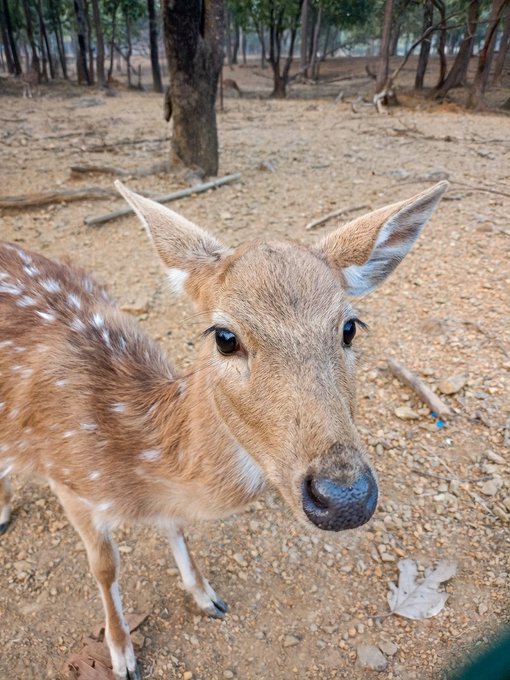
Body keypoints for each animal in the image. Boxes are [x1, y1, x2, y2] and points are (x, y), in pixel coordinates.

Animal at [0, 180, 447, 679]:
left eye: (349, 327)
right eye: (225, 337)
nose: (345, 497)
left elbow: (175, 527)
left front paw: (205, 596)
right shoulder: (66, 480)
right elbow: (105, 567)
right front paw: (122, 655)